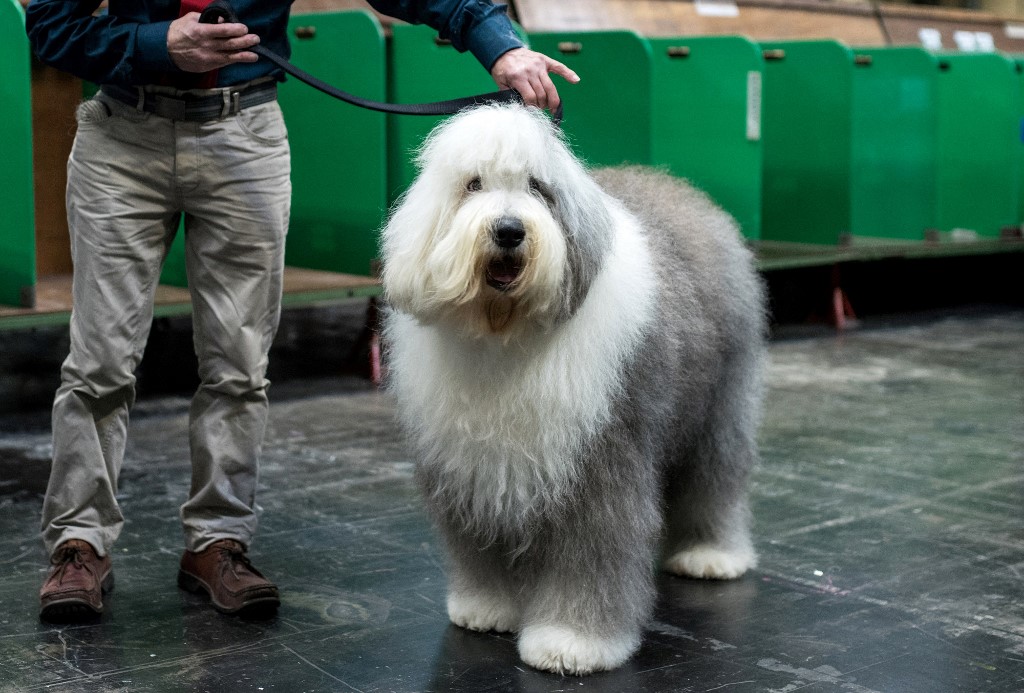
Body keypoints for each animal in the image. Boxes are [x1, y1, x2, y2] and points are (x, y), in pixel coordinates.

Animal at [380, 105, 765, 671]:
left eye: (538, 188)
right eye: (473, 184)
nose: (509, 230)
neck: (506, 332)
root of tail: (683, 191)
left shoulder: (598, 462)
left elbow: (591, 551)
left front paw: (572, 643)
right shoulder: (473, 467)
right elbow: (478, 546)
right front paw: (485, 608)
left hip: (718, 403)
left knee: (714, 476)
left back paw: (710, 555)